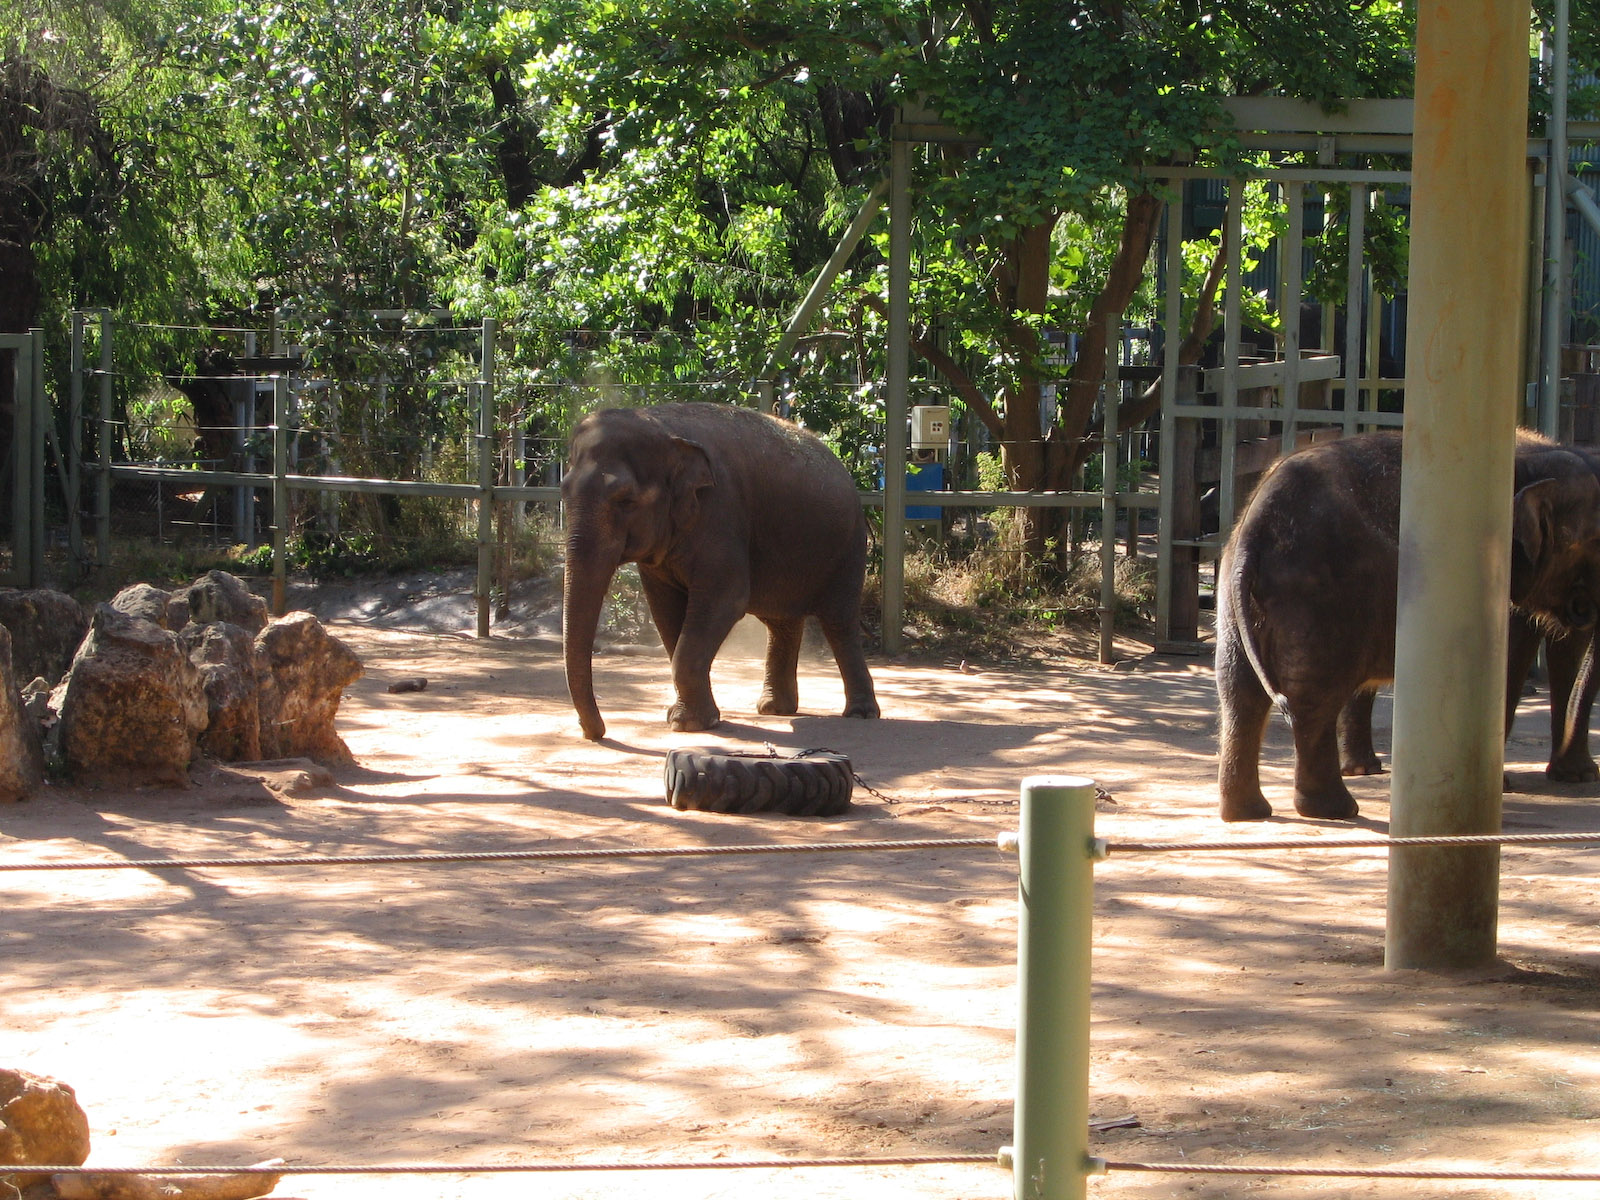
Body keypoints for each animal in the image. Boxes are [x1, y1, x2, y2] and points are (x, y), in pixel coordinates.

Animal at [560, 402, 881, 741]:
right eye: (563, 493)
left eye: (625, 499)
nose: (596, 732)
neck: (662, 426)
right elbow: (665, 611)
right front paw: (688, 717)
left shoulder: (721, 512)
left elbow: (726, 600)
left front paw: (688, 724)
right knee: (782, 623)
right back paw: (774, 709)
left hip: (849, 547)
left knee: (839, 621)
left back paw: (860, 714)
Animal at [1216, 430, 1600, 822]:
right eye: (1596, 542)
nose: (1583, 607)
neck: (1540, 455)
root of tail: (1253, 530)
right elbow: (1510, 662)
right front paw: (1504, 785)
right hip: (1320, 600)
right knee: (1312, 701)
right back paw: (1333, 810)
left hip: (1244, 600)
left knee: (1240, 693)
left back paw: (1248, 813)